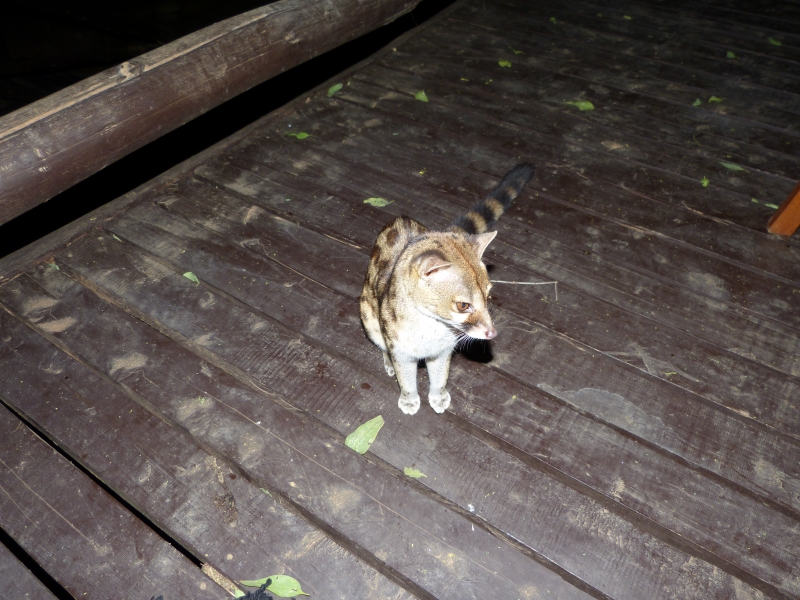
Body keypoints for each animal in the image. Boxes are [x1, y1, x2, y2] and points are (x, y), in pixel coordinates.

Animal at [360, 163, 535, 415]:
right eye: (463, 305)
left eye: (488, 296)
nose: (492, 333)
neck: (430, 327)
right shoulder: (401, 351)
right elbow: (406, 380)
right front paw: (409, 399)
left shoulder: (443, 353)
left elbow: (440, 377)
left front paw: (438, 396)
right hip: (368, 314)